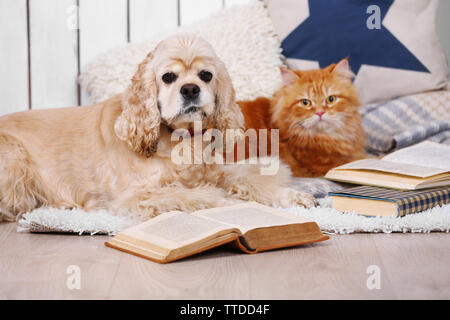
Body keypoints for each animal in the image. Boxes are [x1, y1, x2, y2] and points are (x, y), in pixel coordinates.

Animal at [0, 33, 314, 221]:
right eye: (168, 77)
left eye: (206, 74)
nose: (190, 89)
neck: (182, 138)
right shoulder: (135, 196)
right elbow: (196, 197)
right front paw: (230, 204)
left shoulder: (217, 173)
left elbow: (248, 180)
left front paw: (289, 196)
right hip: (15, 159)